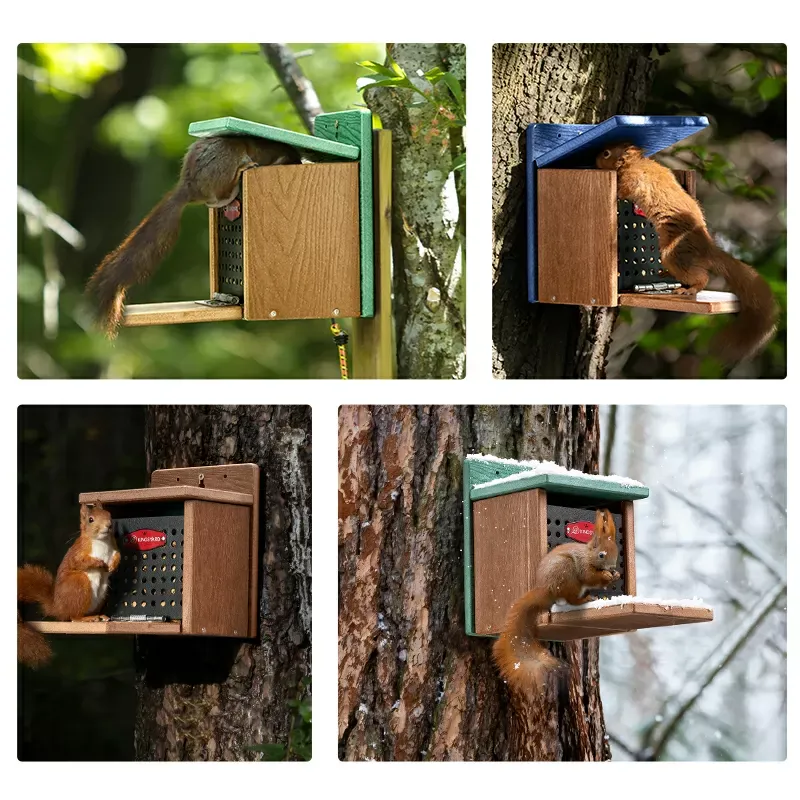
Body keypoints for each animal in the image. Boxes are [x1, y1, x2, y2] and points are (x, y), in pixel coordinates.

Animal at [18, 502, 119, 667]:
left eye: (109, 514)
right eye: (91, 519)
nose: (109, 525)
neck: (101, 541)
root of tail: (58, 608)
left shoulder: (114, 547)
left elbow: (118, 555)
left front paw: (112, 566)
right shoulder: (79, 552)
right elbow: (80, 562)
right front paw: (99, 563)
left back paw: (99, 616)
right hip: (79, 583)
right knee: (73, 617)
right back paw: (84, 618)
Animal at [493, 508, 620, 695]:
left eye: (616, 553)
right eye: (601, 554)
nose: (611, 568)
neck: (588, 555)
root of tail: (545, 591)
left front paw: (615, 575)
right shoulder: (584, 566)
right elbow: (589, 577)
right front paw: (605, 576)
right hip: (567, 575)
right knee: (572, 599)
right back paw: (586, 599)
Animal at [595, 143, 777, 363]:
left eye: (606, 153)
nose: (594, 159)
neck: (636, 162)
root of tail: (707, 247)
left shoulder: (634, 180)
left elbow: (624, 190)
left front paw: (617, 192)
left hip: (673, 254)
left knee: (702, 277)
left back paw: (688, 290)